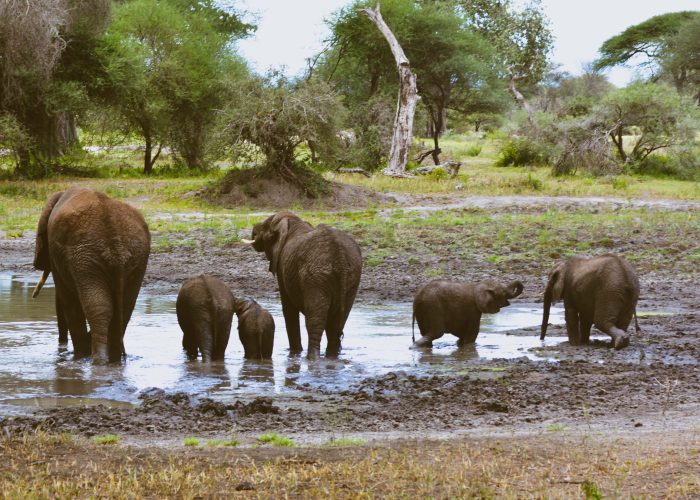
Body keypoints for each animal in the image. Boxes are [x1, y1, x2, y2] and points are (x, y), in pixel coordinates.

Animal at [32, 186, 150, 362]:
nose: (61, 346)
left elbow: (66, 298)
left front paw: (79, 354)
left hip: (86, 257)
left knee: (98, 306)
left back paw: (95, 358)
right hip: (136, 256)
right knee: (125, 306)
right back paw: (113, 359)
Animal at [242, 211, 360, 360]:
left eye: (265, 226)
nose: (254, 231)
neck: (293, 222)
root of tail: (340, 256)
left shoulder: (282, 267)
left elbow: (288, 309)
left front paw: (294, 352)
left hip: (315, 277)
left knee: (314, 322)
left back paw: (312, 358)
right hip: (352, 277)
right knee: (337, 324)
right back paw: (331, 358)